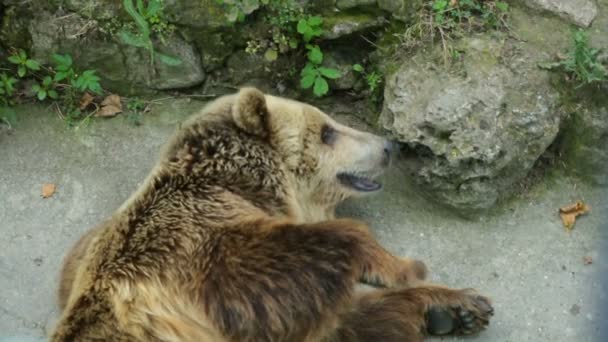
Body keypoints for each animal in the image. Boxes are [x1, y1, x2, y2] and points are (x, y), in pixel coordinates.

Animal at [50, 87, 492, 340]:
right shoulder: (198, 255)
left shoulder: (86, 254)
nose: (388, 147)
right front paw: (406, 267)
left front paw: (456, 307)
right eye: (328, 131)